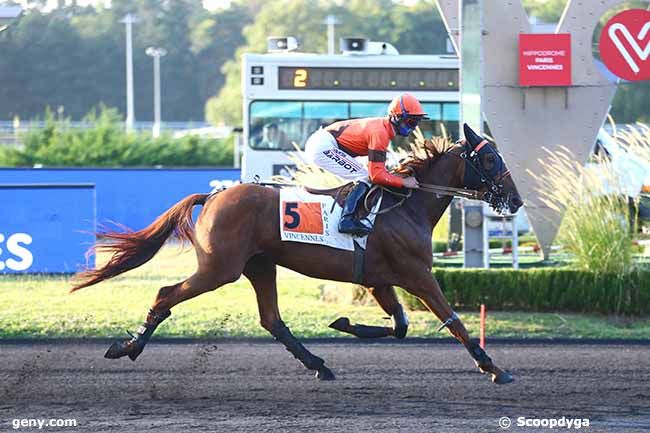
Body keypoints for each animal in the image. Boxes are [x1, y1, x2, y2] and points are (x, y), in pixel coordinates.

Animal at [71, 123, 520, 384]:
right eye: (489, 157)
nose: (515, 199)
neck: (405, 206)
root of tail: (213, 195)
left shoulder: (379, 280)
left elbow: (400, 326)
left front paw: (343, 323)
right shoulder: (416, 275)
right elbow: (453, 320)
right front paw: (493, 367)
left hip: (259, 266)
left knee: (271, 319)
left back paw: (318, 364)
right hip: (220, 268)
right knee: (166, 294)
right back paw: (129, 347)